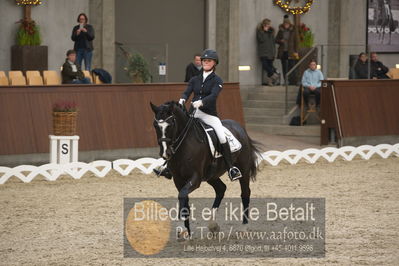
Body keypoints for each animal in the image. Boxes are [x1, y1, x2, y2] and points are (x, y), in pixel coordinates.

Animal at [151, 101, 262, 236]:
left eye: (171, 124)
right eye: (155, 125)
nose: (165, 153)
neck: (185, 144)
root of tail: (240, 128)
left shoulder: (195, 178)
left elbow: (182, 195)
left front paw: (182, 228)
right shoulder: (178, 179)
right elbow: (184, 199)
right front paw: (187, 230)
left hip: (243, 170)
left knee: (245, 193)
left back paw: (244, 227)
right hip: (211, 175)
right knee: (221, 189)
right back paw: (213, 224)